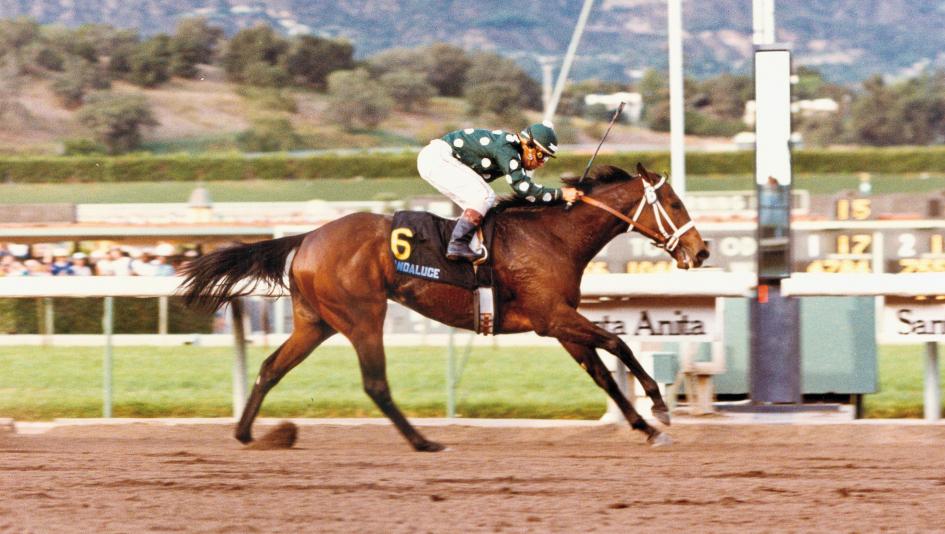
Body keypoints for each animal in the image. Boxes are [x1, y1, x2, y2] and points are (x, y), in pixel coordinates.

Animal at [179, 163, 708, 452]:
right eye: (676, 204)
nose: (700, 252)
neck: (554, 236)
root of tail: (307, 237)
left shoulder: (559, 325)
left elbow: (603, 373)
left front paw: (646, 427)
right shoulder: (552, 318)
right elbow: (620, 343)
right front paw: (660, 408)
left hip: (316, 323)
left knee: (271, 367)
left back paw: (247, 434)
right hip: (362, 316)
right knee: (375, 384)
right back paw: (425, 441)